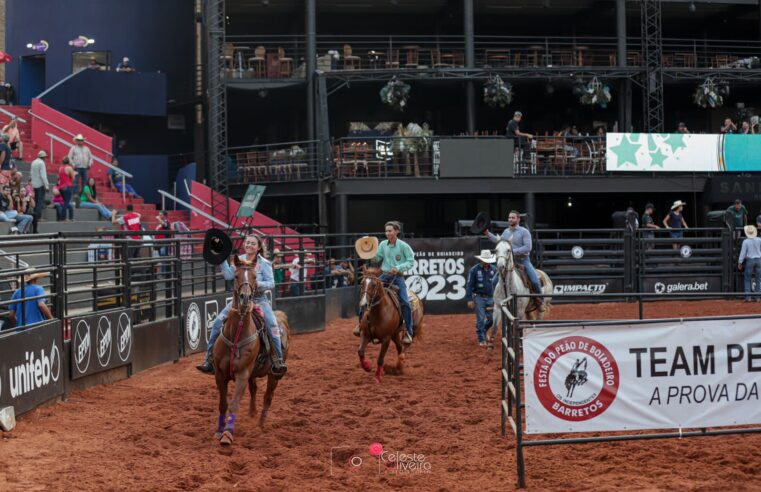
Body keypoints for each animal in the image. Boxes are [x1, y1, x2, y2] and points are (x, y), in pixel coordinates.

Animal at [212, 258, 290, 446]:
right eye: (236, 276)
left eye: (255, 276)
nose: (246, 298)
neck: (237, 333)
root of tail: (281, 315)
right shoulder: (219, 374)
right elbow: (223, 404)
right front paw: (219, 430)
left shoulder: (242, 374)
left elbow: (233, 404)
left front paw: (227, 434)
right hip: (253, 373)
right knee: (254, 389)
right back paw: (252, 413)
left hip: (274, 375)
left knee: (268, 397)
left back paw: (260, 425)